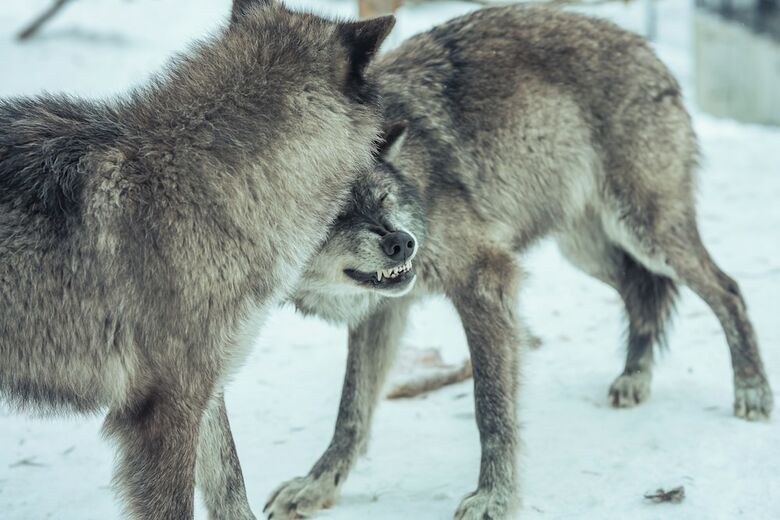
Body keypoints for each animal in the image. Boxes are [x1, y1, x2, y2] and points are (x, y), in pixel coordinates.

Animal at [264, 5, 774, 520]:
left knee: (727, 289)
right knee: (640, 291)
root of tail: (642, 45)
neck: (416, 174)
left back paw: (751, 391)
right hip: (587, 250)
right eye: (336, 216)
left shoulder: (488, 280)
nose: (403, 244)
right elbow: (351, 410)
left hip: (646, 232)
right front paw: (318, 484)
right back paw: (634, 377)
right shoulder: (382, 307)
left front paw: (495, 496)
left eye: (383, 198)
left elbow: (490, 407)